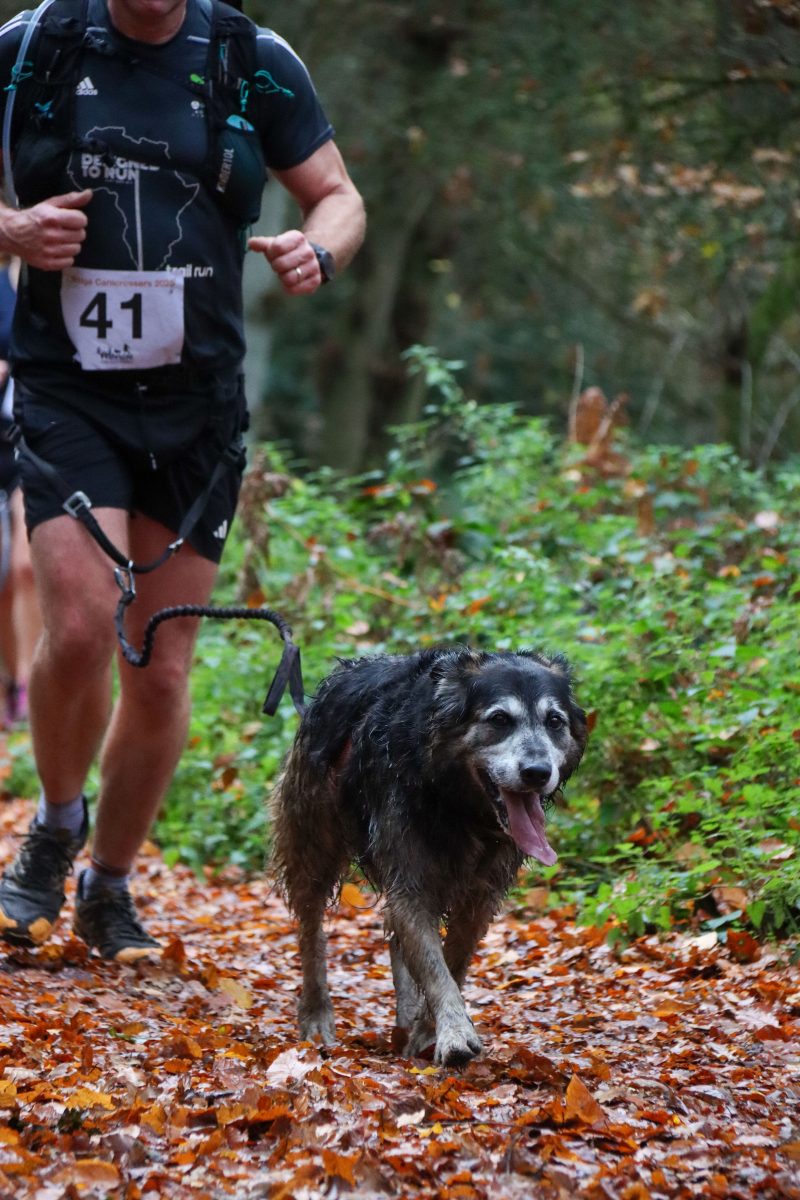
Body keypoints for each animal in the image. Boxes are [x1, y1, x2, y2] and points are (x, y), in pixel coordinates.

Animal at [270, 647, 587, 1066]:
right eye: (499, 719)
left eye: (554, 722)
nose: (537, 772)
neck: (457, 804)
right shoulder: (411, 881)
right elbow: (435, 969)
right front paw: (453, 1034)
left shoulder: (480, 897)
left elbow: (450, 962)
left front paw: (426, 1030)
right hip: (311, 848)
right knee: (311, 933)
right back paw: (316, 1015)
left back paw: (405, 1017)